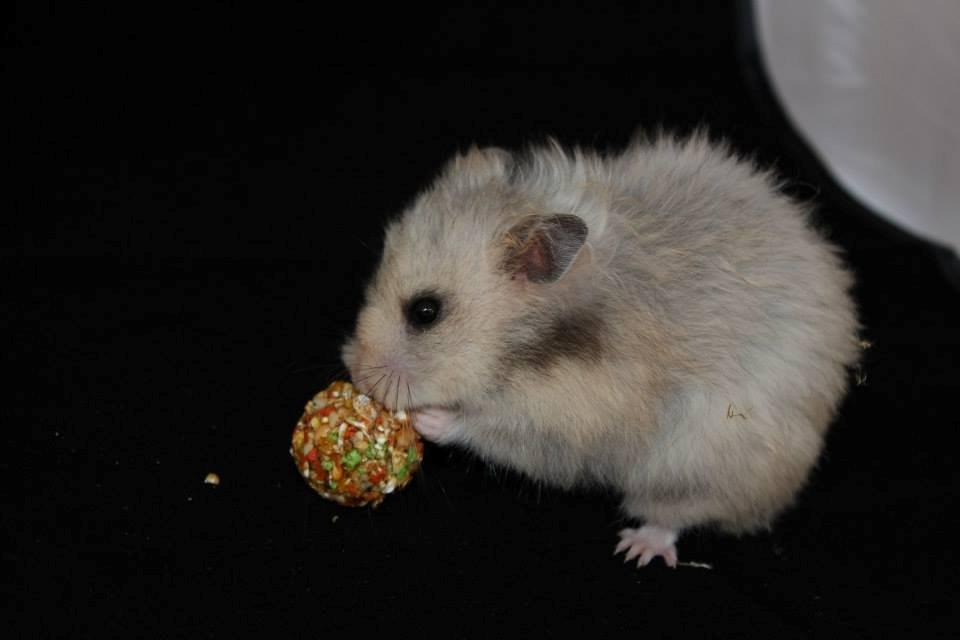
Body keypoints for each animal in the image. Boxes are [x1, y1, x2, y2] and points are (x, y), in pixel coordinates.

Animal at [341, 132, 860, 567]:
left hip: (696, 468)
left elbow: (492, 429)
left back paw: (637, 549)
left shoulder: (570, 424)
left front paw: (428, 418)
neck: (534, 350)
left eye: (425, 312)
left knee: (676, 513)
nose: (358, 375)